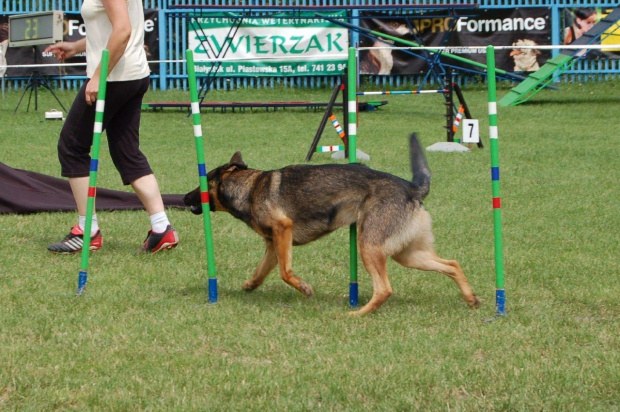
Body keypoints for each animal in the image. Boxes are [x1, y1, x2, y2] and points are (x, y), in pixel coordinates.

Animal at [184, 134, 480, 314]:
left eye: (200, 185)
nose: (184, 198)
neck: (250, 187)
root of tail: (412, 188)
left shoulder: (283, 230)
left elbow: (285, 273)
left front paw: (304, 288)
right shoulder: (273, 244)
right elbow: (261, 272)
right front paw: (248, 286)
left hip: (369, 246)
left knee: (384, 289)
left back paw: (358, 314)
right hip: (408, 254)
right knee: (452, 264)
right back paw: (470, 298)